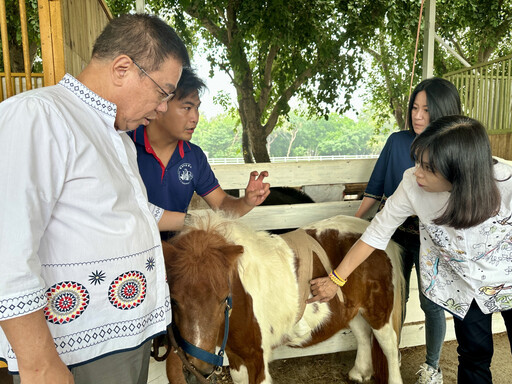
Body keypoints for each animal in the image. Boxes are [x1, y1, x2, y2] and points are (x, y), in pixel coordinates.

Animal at [164, 212, 404, 382]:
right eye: (173, 301)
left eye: (224, 298)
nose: (197, 370)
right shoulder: (235, 355)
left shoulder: (257, 358)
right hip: (354, 309)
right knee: (363, 334)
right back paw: (359, 373)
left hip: (379, 312)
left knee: (389, 347)